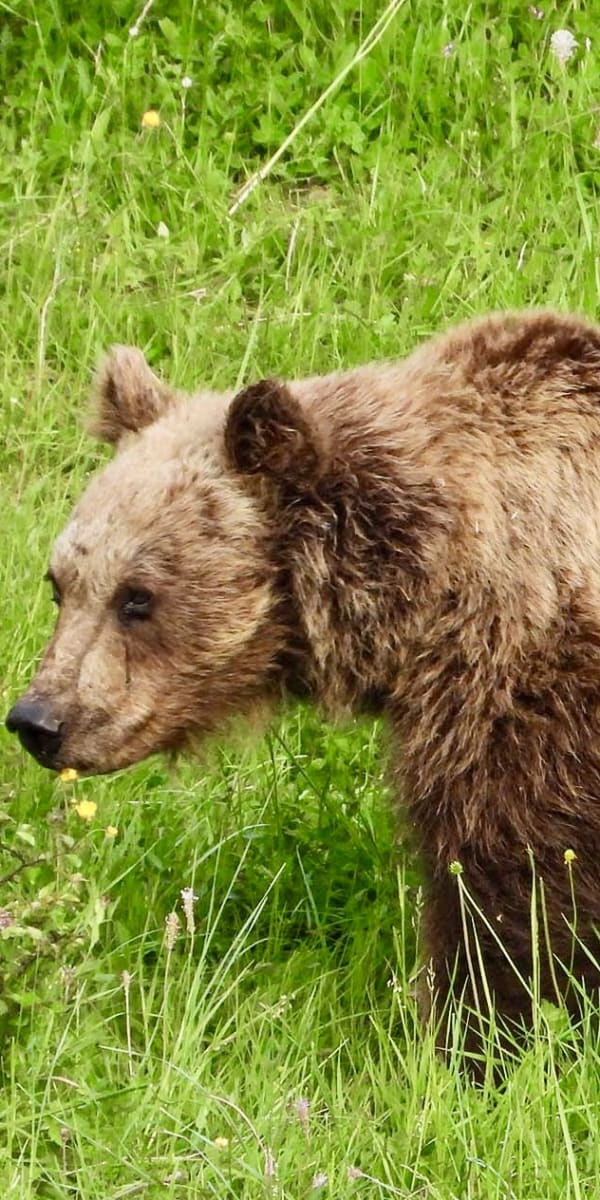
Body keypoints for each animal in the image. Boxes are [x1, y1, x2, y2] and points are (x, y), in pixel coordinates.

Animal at [8, 308, 600, 1052]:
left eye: (137, 597)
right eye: (61, 584)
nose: (37, 719)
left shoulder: (520, 688)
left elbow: (514, 879)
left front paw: (483, 1034)